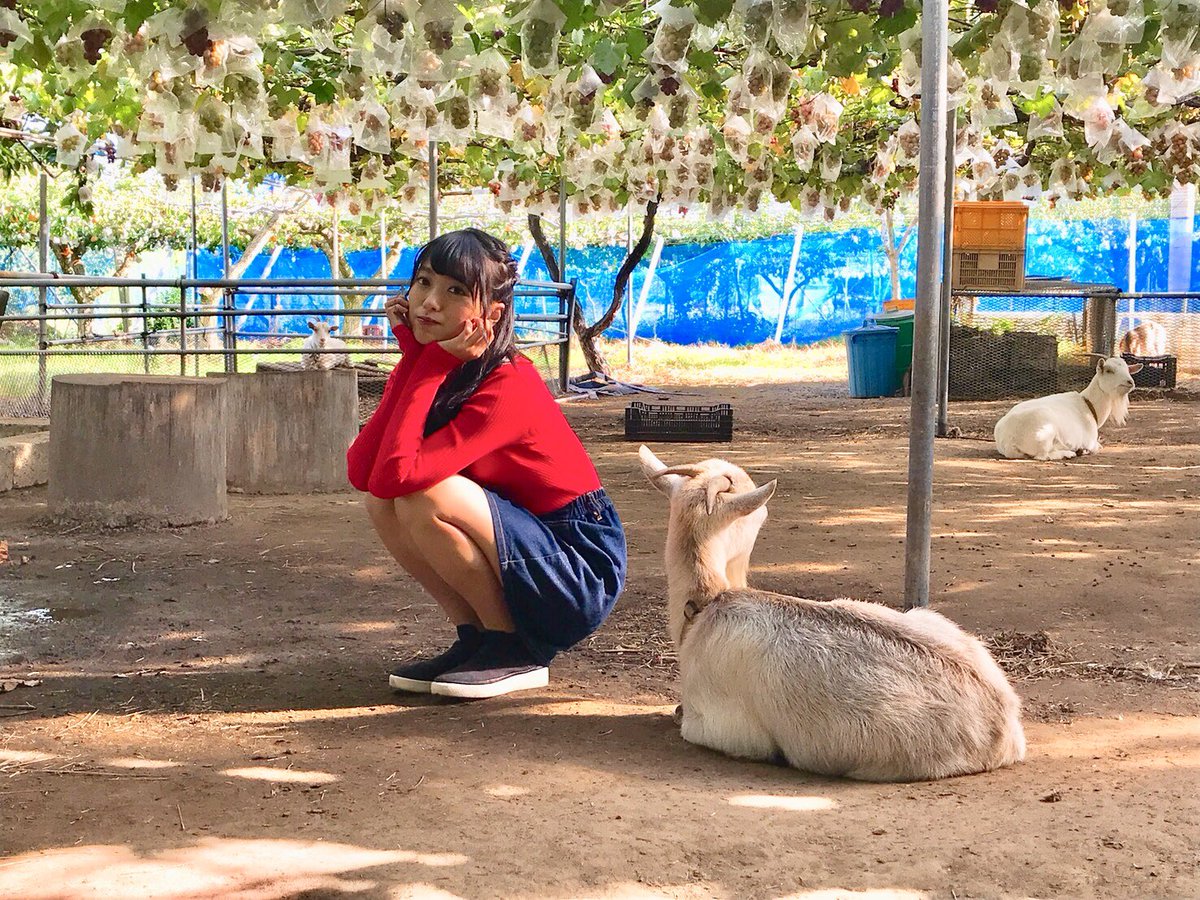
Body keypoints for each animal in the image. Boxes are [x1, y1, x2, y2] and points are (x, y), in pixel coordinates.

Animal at [994, 356, 1143, 461]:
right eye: (1109, 370)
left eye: (1128, 370)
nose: (1130, 382)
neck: (1089, 406)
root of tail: (1008, 440)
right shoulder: (1090, 441)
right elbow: (1097, 447)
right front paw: (1083, 450)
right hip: (1044, 434)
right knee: (1043, 456)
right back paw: (1069, 453)